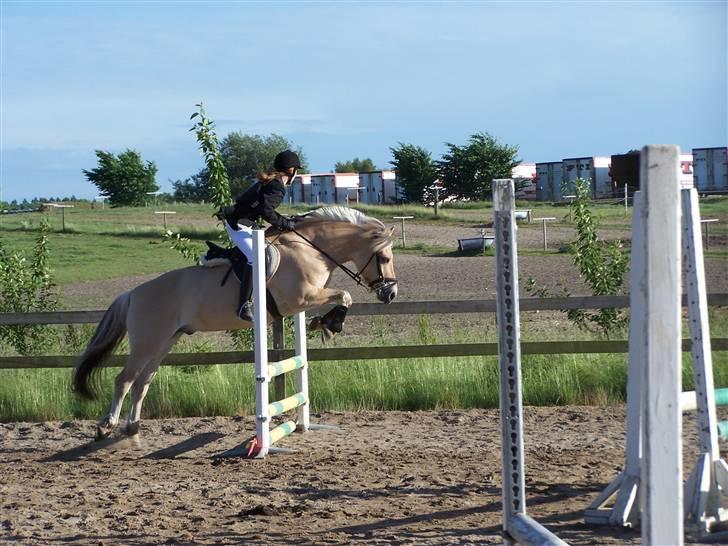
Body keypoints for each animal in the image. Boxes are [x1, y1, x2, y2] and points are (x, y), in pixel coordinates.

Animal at [74, 206, 398, 440]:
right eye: (383, 258)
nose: (391, 294)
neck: (311, 250)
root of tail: (133, 293)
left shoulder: (307, 299)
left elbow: (341, 298)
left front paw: (325, 324)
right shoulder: (301, 299)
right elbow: (345, 295)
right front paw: (330, 324)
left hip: (165, 342)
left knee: (143, 382)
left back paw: (132, 427)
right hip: (146, 342)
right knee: (125, 380)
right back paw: (105, 426)